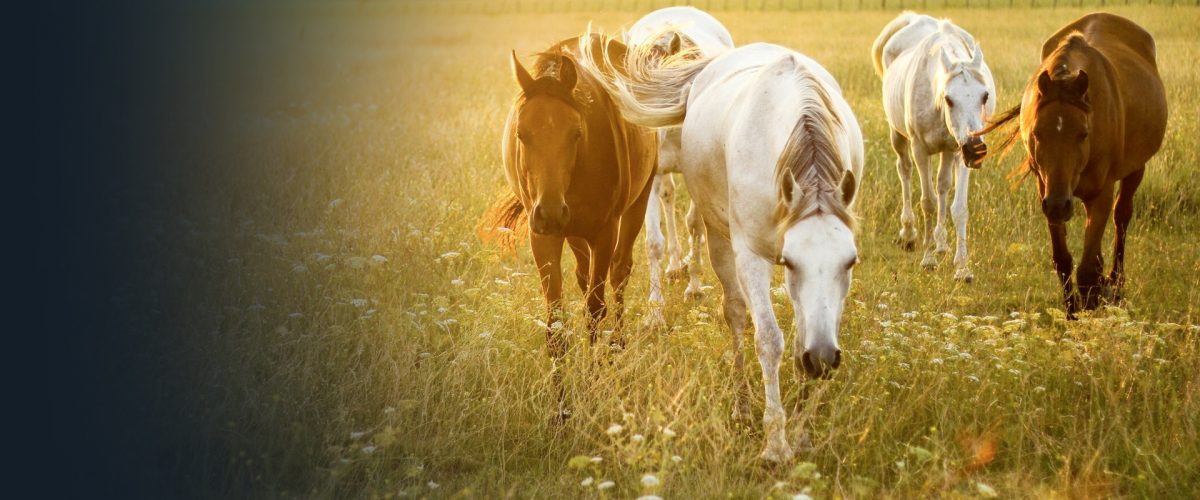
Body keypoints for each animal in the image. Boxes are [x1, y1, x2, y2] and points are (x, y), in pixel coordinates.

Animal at [478, 35, 657, 417]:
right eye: (522, 134)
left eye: (576, 133)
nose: (549, 212)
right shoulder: (543, 237)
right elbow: (556, 326)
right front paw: (560, 412)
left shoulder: (604, 232)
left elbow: (594, 312)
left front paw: (591, 389)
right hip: (573, 233)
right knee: (584, 275)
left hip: (638, 203)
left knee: (619, 274)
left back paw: (618, 348)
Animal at [625, 6, 734, 325]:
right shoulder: (651, 179)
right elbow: (653, 242)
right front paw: (655, 313)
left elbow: (695, 226)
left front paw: (694, 289)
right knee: (668, 197)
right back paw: (674, 266)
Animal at [872, 12, 996, 282]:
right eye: (949, 98)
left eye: (984, 96)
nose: (976, 151)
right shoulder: (920, 149)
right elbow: (927, 202)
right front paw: (928, 260)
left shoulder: (959, 151)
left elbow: (958, 207)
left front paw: (962, 268)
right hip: (898, 136)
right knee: (905, 171)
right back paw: (909, 234)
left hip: (949, 151)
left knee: (942, 186)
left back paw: (941, 243)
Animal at [980, 13, 1166, 317]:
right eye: (1037, 133)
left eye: (1083, 134)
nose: (1059, 204)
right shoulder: (1045, 191)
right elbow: (1063, 259)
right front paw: (1072, 313)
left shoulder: (1100, 194)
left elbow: (1088, 269)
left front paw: (1090, 312)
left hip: (1136, 169)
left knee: (1122, 218)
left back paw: (1115, 284)